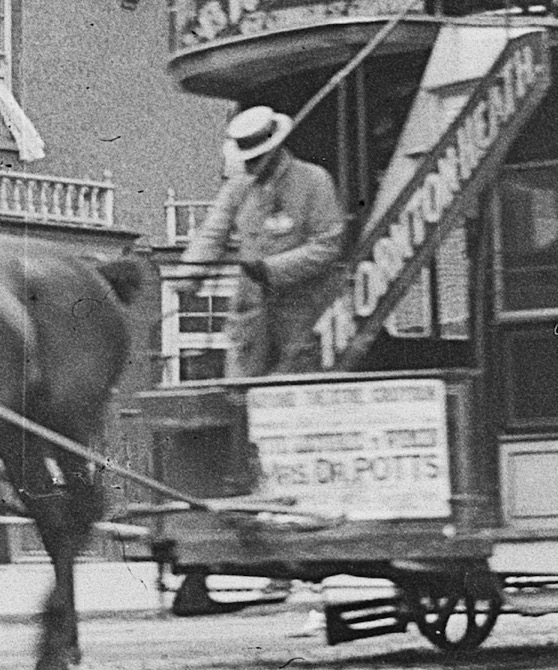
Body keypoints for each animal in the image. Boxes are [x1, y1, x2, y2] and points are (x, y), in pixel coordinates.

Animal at [0, 238, 142, 670]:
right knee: (54, 516)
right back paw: (65, 642)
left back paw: (52, 646)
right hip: (21, 432)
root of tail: (96, 273)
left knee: (80, 510)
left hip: (66, 419)